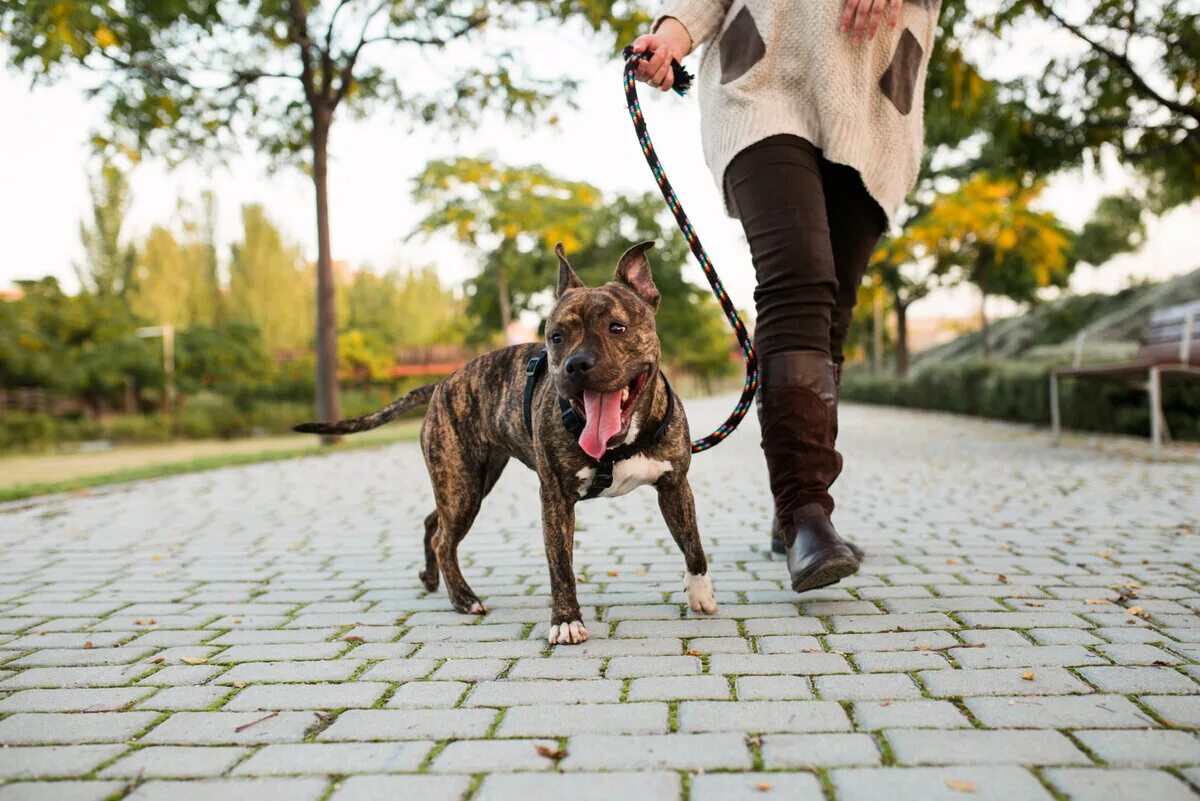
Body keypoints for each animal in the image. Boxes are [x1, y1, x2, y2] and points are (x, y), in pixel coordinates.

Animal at [296, 242, 715, 642]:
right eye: (556, 337)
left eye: (617, 327)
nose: (575, 364)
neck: (620, 442)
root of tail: (442, 383)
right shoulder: (555, 499)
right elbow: (561, 566)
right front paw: (566, 621)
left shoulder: (675, 486)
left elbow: (693, 542)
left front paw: (700, 593)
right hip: (462, 486)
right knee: (444, 539)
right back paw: (463, 598)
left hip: (470, 482)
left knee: (434, 521)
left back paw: (431, 579)